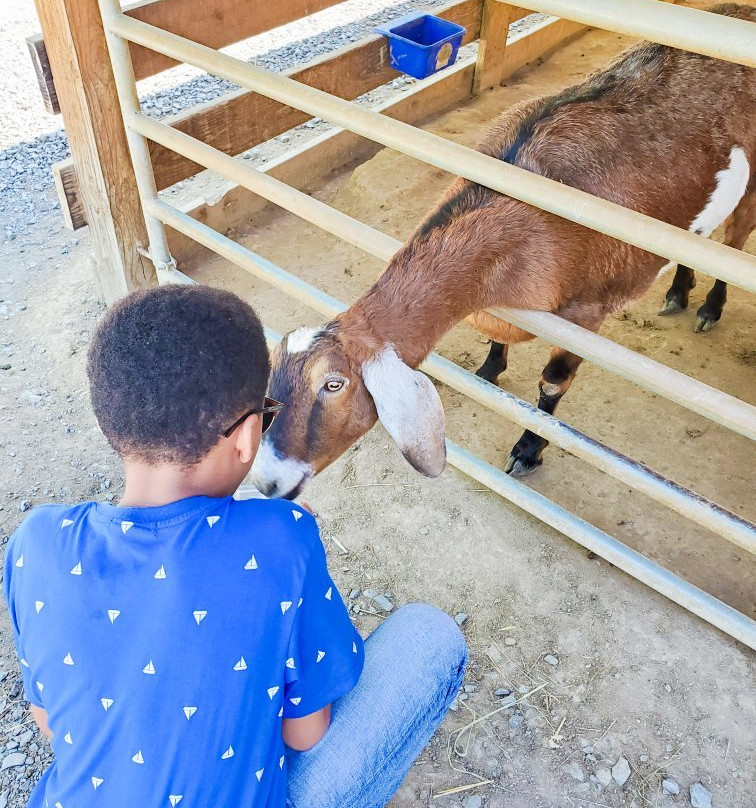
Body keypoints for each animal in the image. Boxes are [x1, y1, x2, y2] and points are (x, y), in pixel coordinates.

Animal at [251, 4, 752, 498]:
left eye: (333, 385)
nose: (265, 479)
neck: (519, 202)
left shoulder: (587, 314)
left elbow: (553, 385)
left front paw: (528, 450)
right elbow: (496, 339)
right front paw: (490, 368)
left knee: (734, 243)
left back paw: (709, 306)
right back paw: (679, 291)